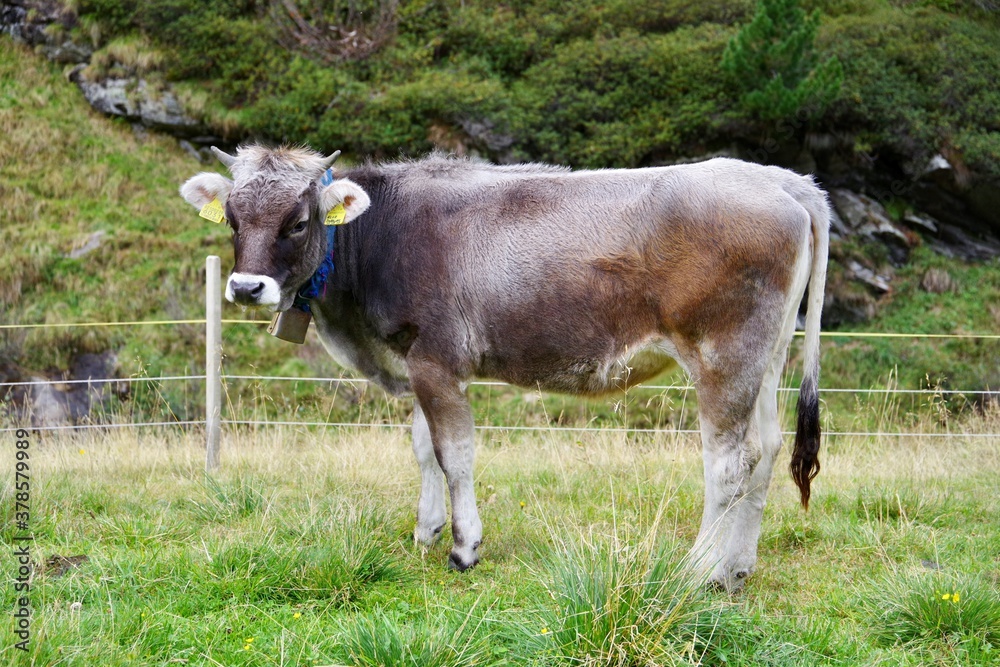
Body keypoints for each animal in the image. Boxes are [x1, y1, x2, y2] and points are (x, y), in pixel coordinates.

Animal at [180, 144, 829, 591]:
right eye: (233, 219)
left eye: (297, 221)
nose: (246, 287)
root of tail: (782, 179)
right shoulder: (416, 360)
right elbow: (422, 448)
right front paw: (425, 531)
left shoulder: (437, 359)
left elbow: (455, 454)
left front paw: (463, 548)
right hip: (766, 357)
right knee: (768, 449)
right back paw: (736, 567)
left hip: (723, 353)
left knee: (729, 464)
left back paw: (697, 570)